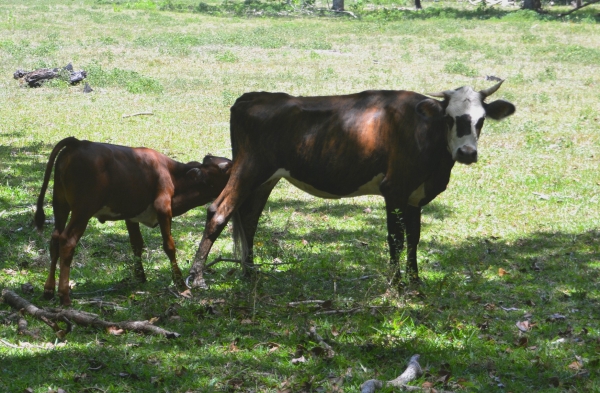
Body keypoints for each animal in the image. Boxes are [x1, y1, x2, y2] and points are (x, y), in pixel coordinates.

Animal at [34, 138, 232, 306]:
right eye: (227, 168)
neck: (175, 177)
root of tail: (78, 142)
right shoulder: (163, 207)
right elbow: (169, 246)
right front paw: (181, 287)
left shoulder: (131, 215)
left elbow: (136, 244)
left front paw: (140, 277)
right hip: (83, 210)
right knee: (67, 241)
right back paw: (64, 296)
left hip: (60, 204)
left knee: (55, 239)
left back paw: (48, 290)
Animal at [189, 80, 516, 288]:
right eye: (449, 118)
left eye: (481, 120)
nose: (467, 153)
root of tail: (252, 97)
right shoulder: (394, 189)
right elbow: (396, 238)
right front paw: (396, 284)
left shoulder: (415, 196)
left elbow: (414, 238)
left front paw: (415, 281)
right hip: (249, 168)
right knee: (219, 211)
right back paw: (197, 278)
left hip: (266, 177)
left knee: (248, 218)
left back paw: (250, 272)